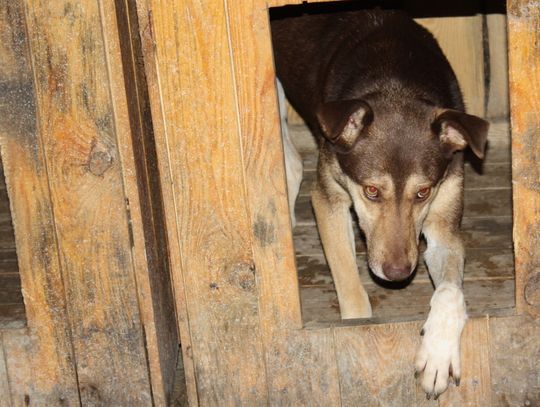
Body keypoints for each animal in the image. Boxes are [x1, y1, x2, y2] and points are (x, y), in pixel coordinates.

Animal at [272, 8, 488, 398]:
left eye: (423, 192)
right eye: (371, 191)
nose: (398, 273)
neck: (396, 83)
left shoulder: (444, 227)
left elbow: (451, 293)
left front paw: (437, 353)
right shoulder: (328, 199)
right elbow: (350, 287)